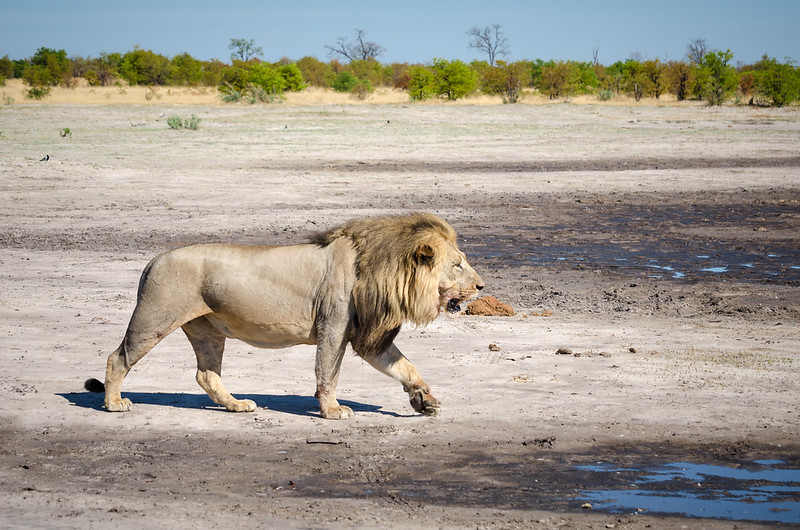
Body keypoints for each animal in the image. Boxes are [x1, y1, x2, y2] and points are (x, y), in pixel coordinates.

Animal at [83, 210, 482, 416]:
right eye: (457, 264)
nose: (481, 286)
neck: (385, 270)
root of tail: (154, 259)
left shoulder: (369, 337)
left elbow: (405, 366)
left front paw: (424, 399)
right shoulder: (334, 329)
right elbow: (328, 373)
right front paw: (332, 410)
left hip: (206, 330)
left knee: (206, 375)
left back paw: (237, 405)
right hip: (154, 318)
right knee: (117, 358)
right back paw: (114, 403)